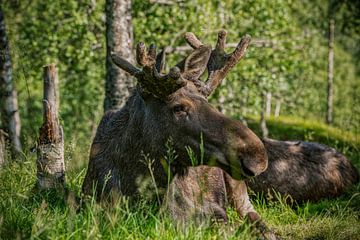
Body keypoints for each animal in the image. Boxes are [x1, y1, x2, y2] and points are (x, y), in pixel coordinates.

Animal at [82, 29, 360, 238]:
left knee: (255, 217)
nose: (257, 156)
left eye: (208, 101)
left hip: (237, 185)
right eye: (178, 107)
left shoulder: (213, 213)